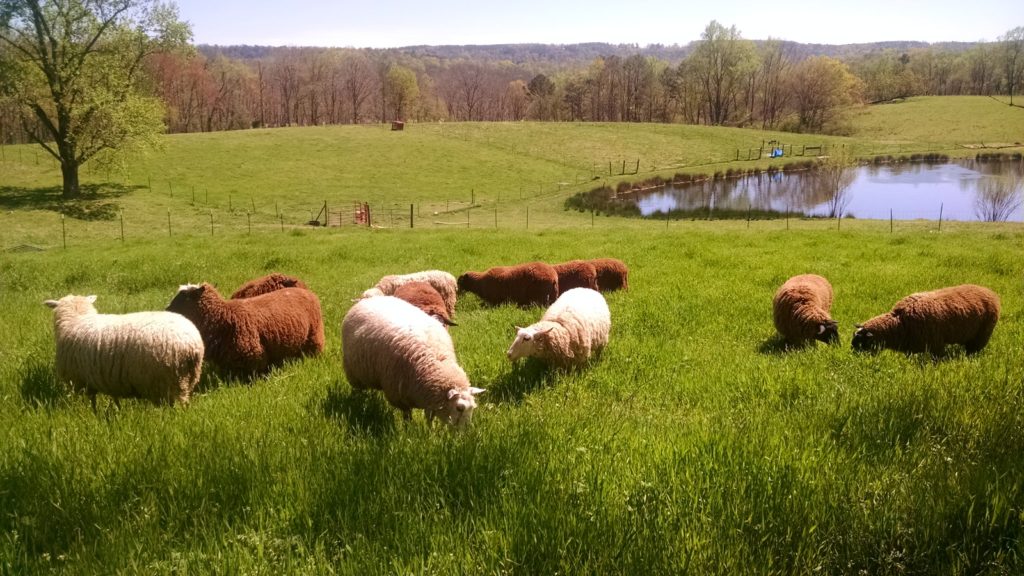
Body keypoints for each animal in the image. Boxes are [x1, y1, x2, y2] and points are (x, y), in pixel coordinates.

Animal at [165, 282, 323, 377]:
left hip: (314, 335)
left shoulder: (254, 356)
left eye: (185, 297)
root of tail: (306, 291)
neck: (223, 316)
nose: (167, 310)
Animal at [339, 295, 483, 422]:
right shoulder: (399, 395)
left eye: (473, 408)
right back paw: (358, 402)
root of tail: (371, 298)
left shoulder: (429, 398)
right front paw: (407, 428)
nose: (464, 434)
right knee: (358, 390)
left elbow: (429, 416)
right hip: (352, 370)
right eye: (459, 408)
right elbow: (407, 415)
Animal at [847, 282, 999, 354]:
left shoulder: (936, 345)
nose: (853, 355)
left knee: (973, 350)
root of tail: (991, 293)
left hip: (982, 334)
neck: (899, 321)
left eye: (861, 343)